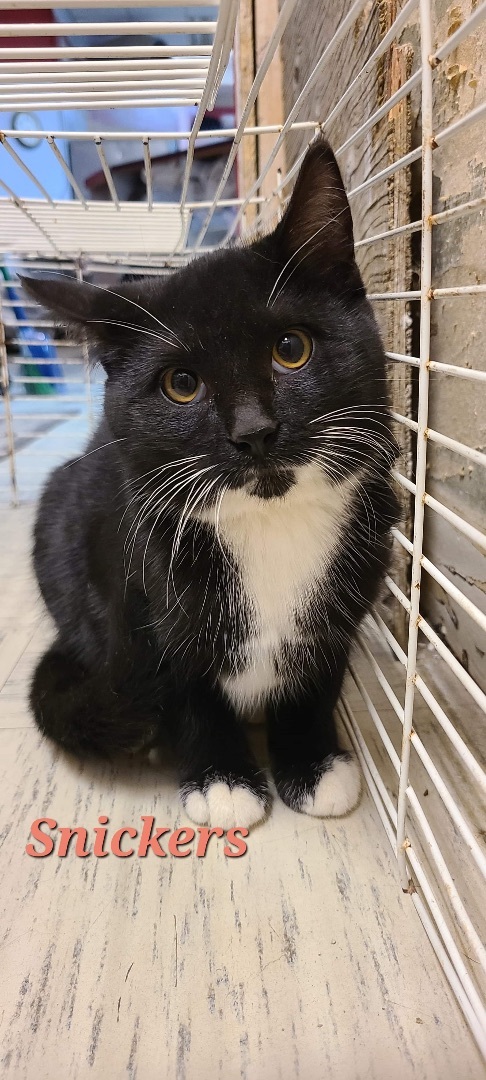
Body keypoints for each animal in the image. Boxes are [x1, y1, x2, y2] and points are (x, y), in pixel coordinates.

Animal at [21, 135, 399, 825]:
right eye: (180, 385)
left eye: (291, 348)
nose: (254, 431)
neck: (271, 527)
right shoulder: (137, 590)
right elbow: (183, 689)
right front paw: (222, 779)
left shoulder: (355, 583)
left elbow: (318, 676)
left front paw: (313, 764)